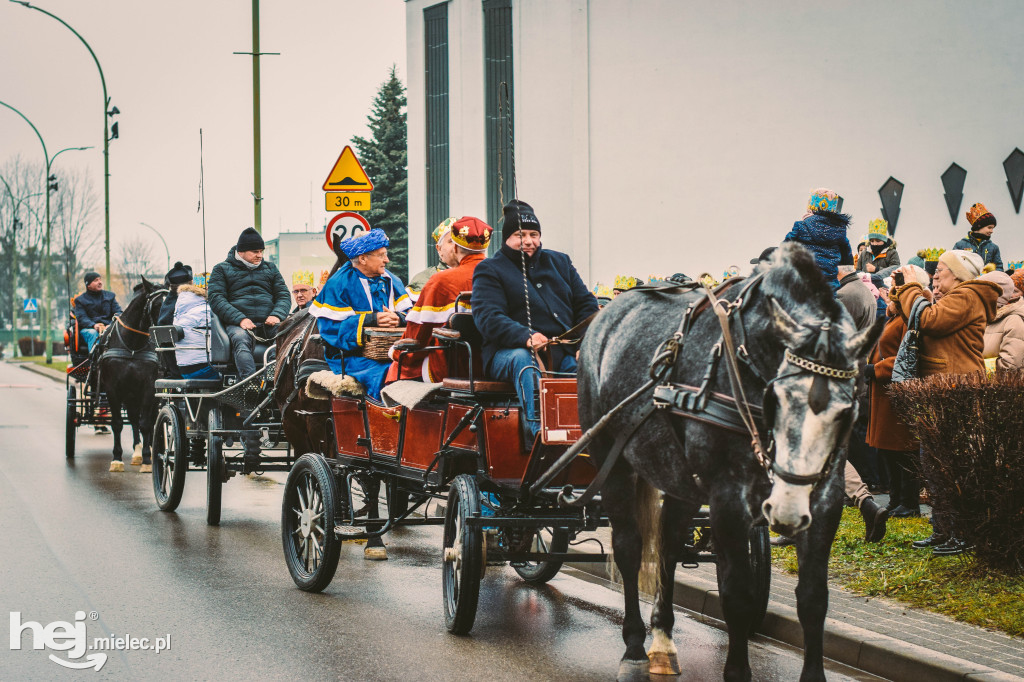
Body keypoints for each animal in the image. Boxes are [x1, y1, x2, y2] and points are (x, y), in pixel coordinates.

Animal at [96, 278, 163, 471]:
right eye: (157, 304)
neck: (132, 345)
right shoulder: (113, 388)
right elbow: (118, 423)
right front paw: (117, 459)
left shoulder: (149, 388)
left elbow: (146, 424)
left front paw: (147, 460)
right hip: (130, 394)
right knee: (133, 418)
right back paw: (137, 452)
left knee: (147, 420)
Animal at [581, 244, 884, 679]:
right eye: (777, 399)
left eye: (844, 413)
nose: (787, 512)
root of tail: (604, 316)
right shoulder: (728, 500)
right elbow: (737, 595)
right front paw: (737, 670)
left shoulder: (825, 498)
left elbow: (813, 599)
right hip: (612, 460)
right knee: (628, 548)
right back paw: (636, 644)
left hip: (680, 480)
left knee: (669, 546)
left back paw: (662, 639)